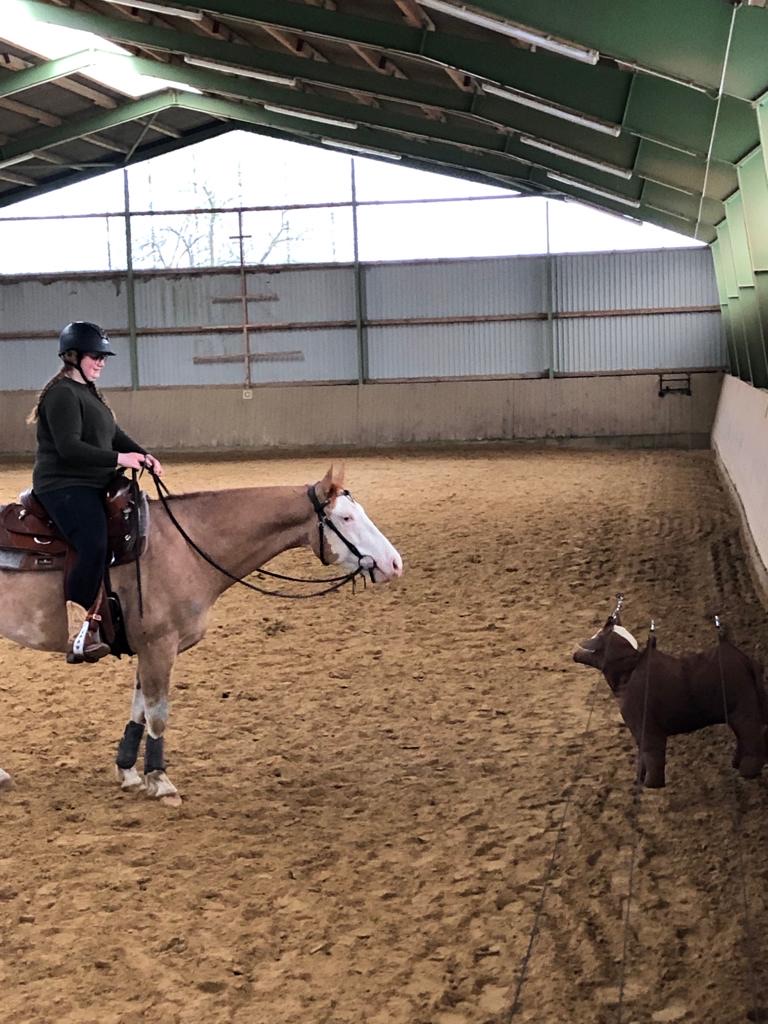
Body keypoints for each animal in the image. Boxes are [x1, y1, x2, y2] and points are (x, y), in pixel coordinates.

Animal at [0, 464, 402, 804]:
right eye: (345, 517)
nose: (394, 564)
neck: (183, 546)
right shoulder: (159, 647)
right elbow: (157, 714)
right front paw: (160, 781)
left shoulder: (149, 649)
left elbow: (139, 709)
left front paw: (129, 771)